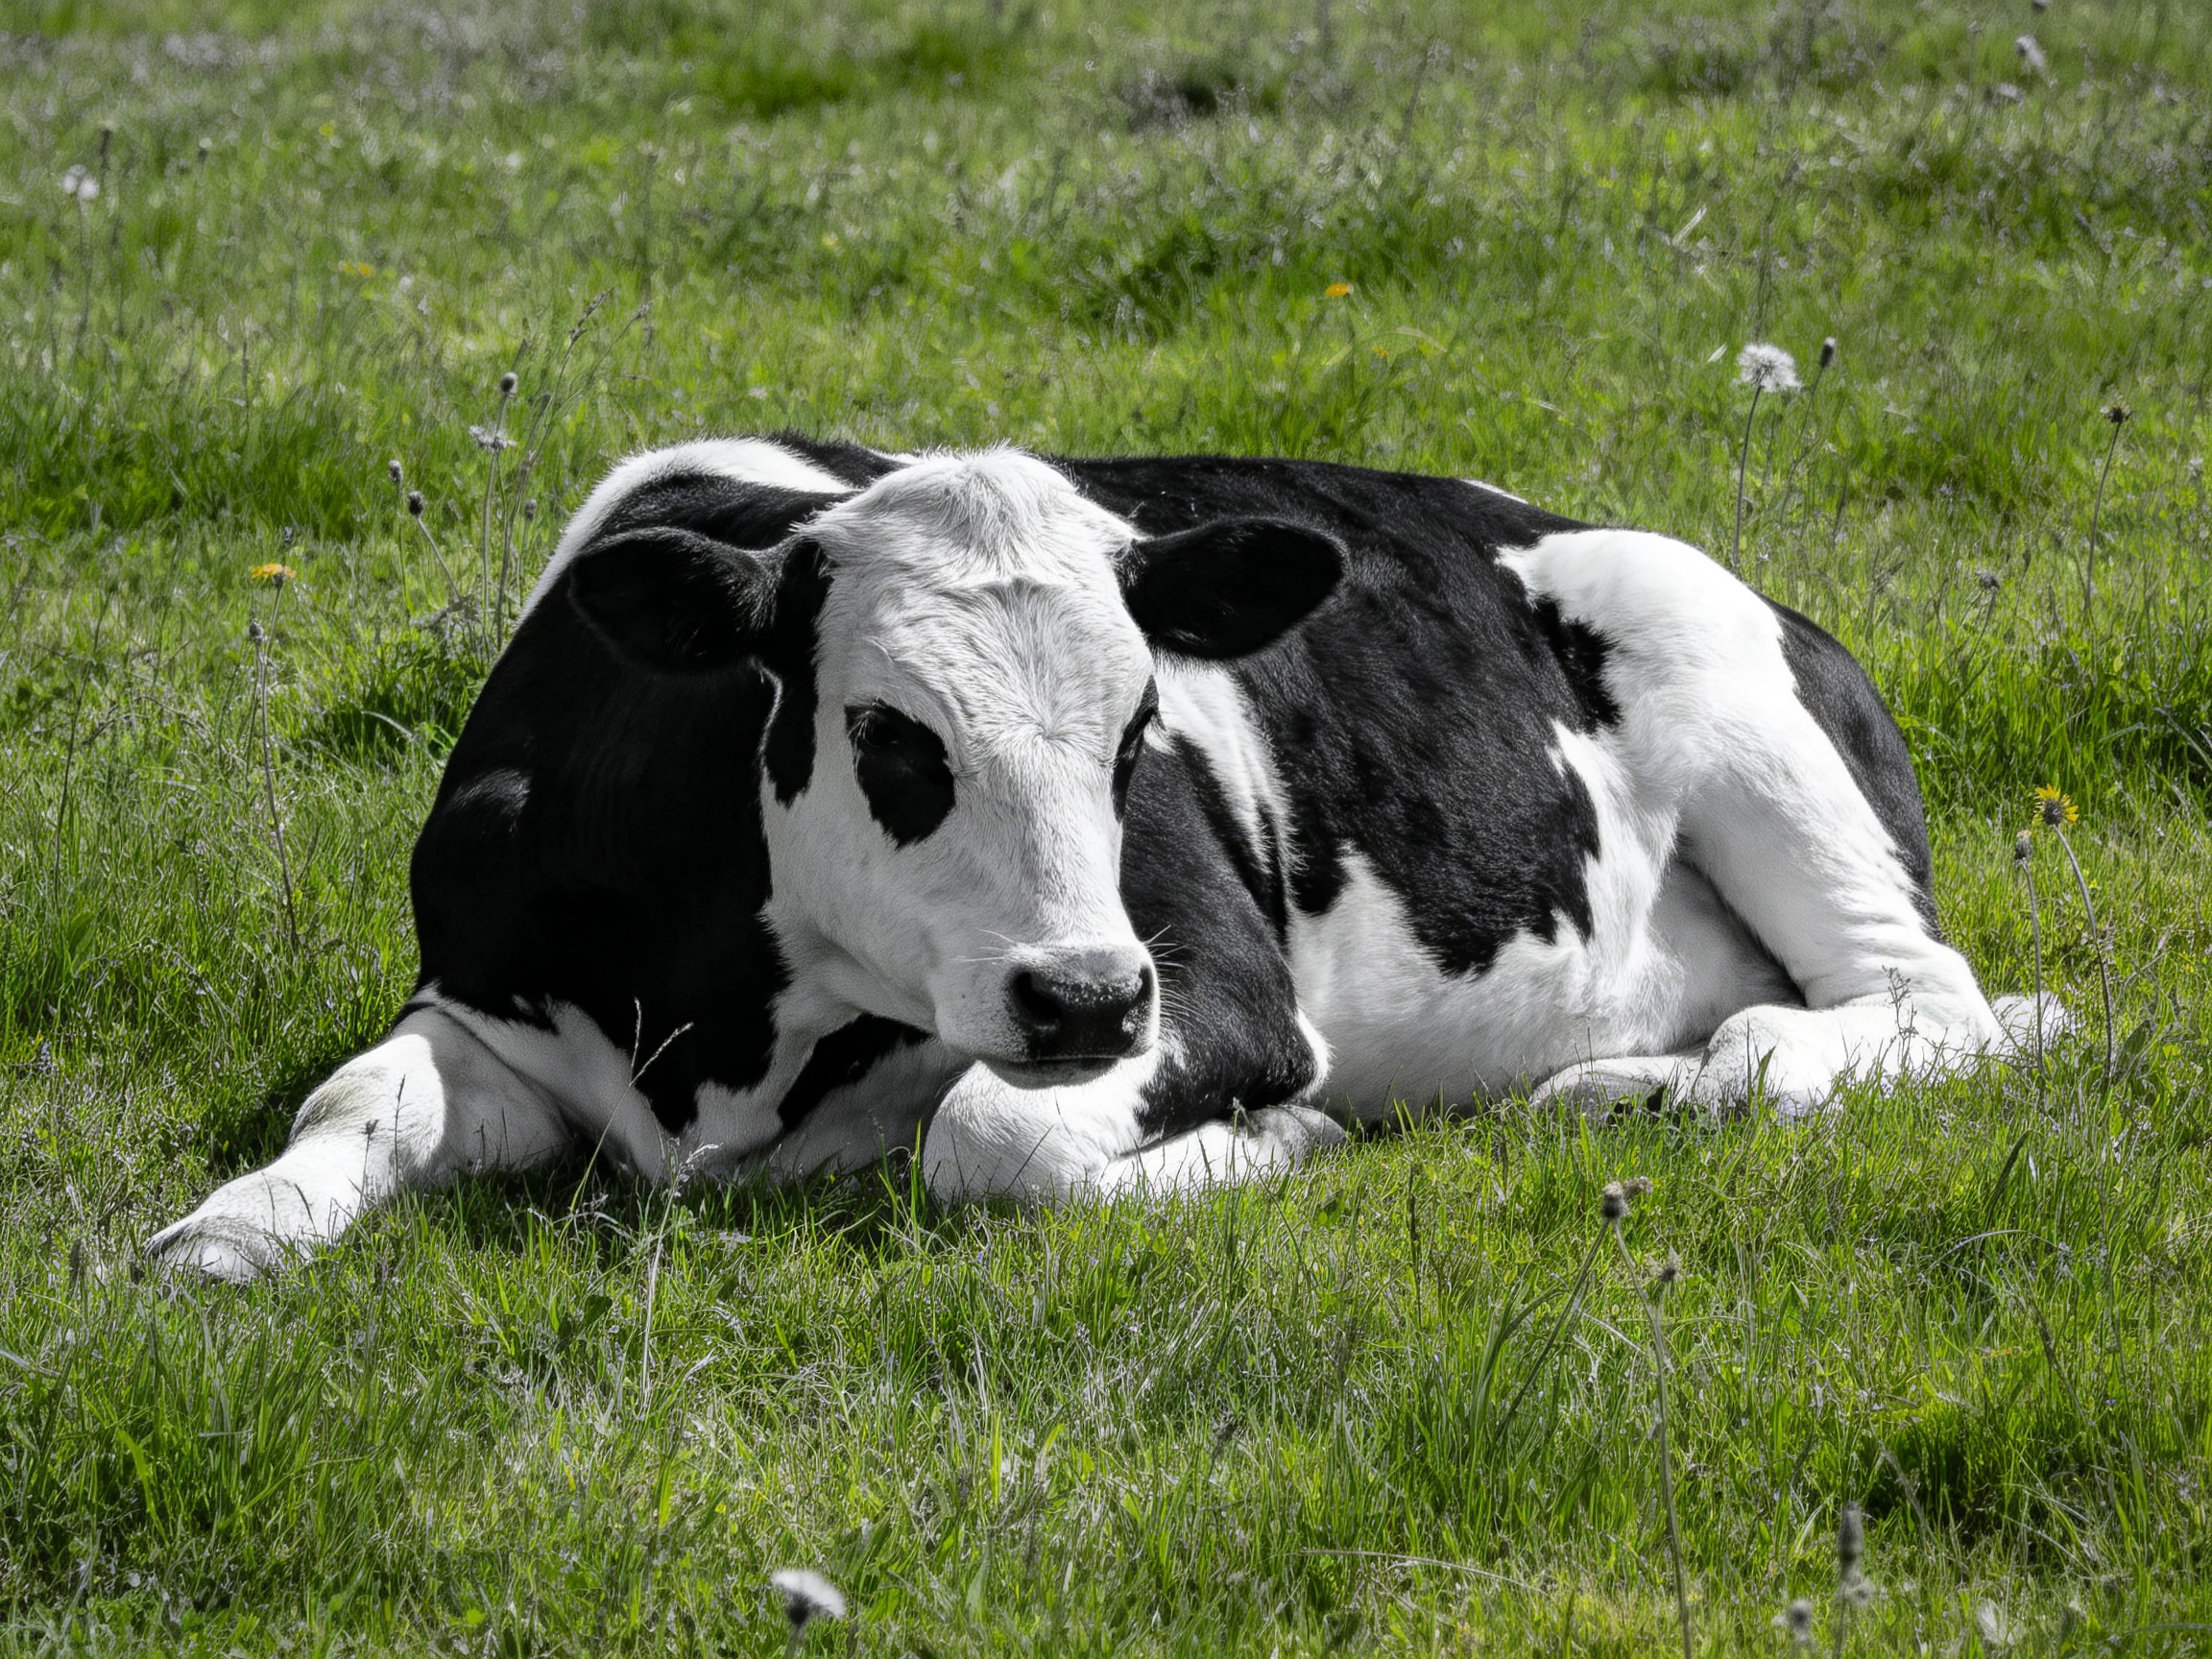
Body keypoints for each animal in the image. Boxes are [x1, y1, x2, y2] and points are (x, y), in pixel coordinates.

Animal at [148, 437, 2041, 1280]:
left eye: (1138, 729)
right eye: (889, 733)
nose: (1082, 996)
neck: (723, 1049)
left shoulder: (1219, 987)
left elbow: (988, 1138)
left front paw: (1277, 1138)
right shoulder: (484, 995)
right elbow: (354, 1105)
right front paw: (225, 1235)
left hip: (1738, 714)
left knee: (1932, 1008)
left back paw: (1696, 1081)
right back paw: (1621, 1083)